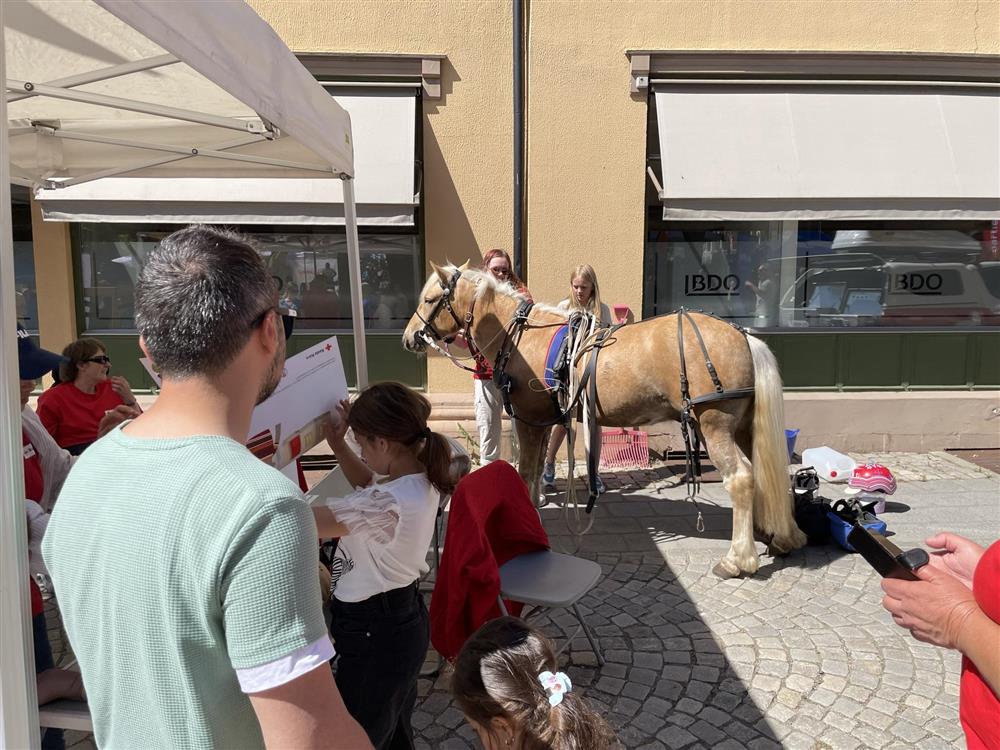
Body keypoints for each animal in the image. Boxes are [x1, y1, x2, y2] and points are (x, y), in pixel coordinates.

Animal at [402, 264, 808, 580]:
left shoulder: (530, 420)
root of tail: (744, 337)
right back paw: (777, 535)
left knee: (740, 479)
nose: (409, 338)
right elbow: (533, 474)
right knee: (764, 472)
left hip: (714, 425)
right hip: (743, 427)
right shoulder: (547, 419)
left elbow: (527, 471)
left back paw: (738, 558)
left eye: (429, 299)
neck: (520, 336)